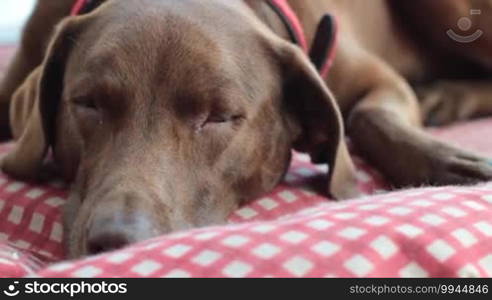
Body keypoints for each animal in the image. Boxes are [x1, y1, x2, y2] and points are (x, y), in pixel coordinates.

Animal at [0, 0, 490, 258]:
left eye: (219, 116)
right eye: (87, 103)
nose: (119, 243)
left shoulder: (379, 79)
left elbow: (365, 116)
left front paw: (452, 163)